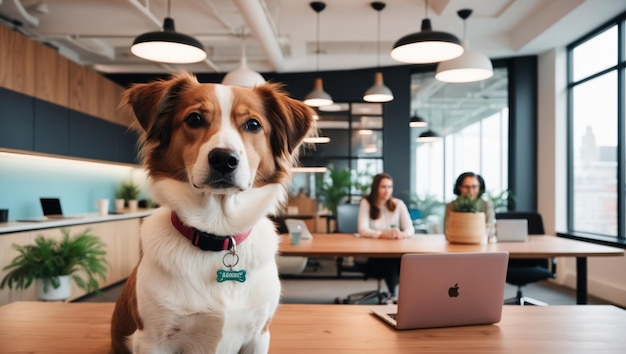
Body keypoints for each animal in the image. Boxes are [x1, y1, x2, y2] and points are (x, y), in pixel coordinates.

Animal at [109, 72, 314, 354]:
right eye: (194, 119)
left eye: (253, 124)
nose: (224, 159)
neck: (218, 232)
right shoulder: (151, 340)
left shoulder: (259, 334)